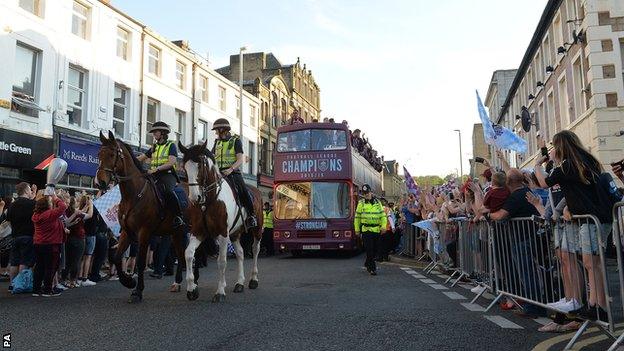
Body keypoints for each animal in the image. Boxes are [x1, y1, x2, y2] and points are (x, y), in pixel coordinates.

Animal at [95, 131, 188, 302]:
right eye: (99, 154)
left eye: (112, 154)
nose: (100, 183)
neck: (133, 195)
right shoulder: (126, 232)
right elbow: (117, 258)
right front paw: (128, 281)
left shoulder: (144, 233)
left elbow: (140, 261)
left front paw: (137, 291)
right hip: (175, 232)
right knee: (181, 253)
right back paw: (177, 283)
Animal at [178, 140, 264, 302]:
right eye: (185, 167)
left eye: (200, 165)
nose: (194, 198)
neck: (209, 200)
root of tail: (256, 191)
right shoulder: (198, 232)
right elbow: (188, 254)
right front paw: (192, 289)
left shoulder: (223, 234)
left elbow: (222, 261)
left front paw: (220, 292)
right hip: (235, 233)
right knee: (240, 253)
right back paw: (239, 283)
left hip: (257, 229)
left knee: (255, 249)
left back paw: (254, 280)